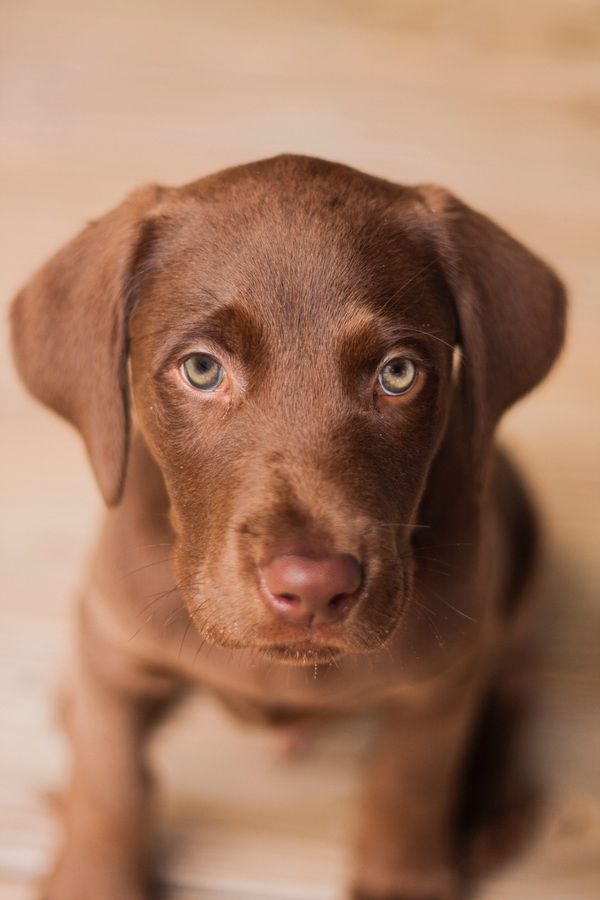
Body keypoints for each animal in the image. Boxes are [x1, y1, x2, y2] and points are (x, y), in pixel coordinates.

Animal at [10, 156, 568, 900]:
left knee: (513, 671)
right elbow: (110, 781)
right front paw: (93, 875)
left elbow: (410, 784)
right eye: (202, 368)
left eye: (398, 374)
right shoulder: (112, 640)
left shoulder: (441, 675)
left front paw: (402, 877)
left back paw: (487, 802)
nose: (312, 588)